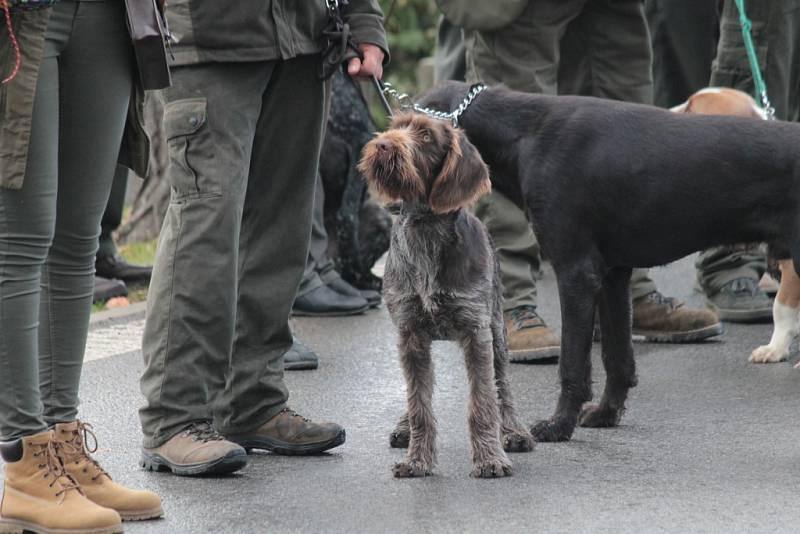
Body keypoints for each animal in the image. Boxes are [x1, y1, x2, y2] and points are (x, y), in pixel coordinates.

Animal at [360, 114, 536, 482]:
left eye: (426, 136)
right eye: (394, 125)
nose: (382, 143)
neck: (425, 229)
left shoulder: (476, 334)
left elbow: (483, 402)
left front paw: (489, 458)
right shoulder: (410, 335)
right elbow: (419, 406)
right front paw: (416, 460)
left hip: (497, 331)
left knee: (502, 385)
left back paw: (514, 431)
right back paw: (404, 427)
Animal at [418, 82, 800, 444]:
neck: (525, 132)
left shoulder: (576, 272)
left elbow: (573, 364)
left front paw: (559, 425)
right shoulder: (613, 275)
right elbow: (617, 359)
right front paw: (606, 413)